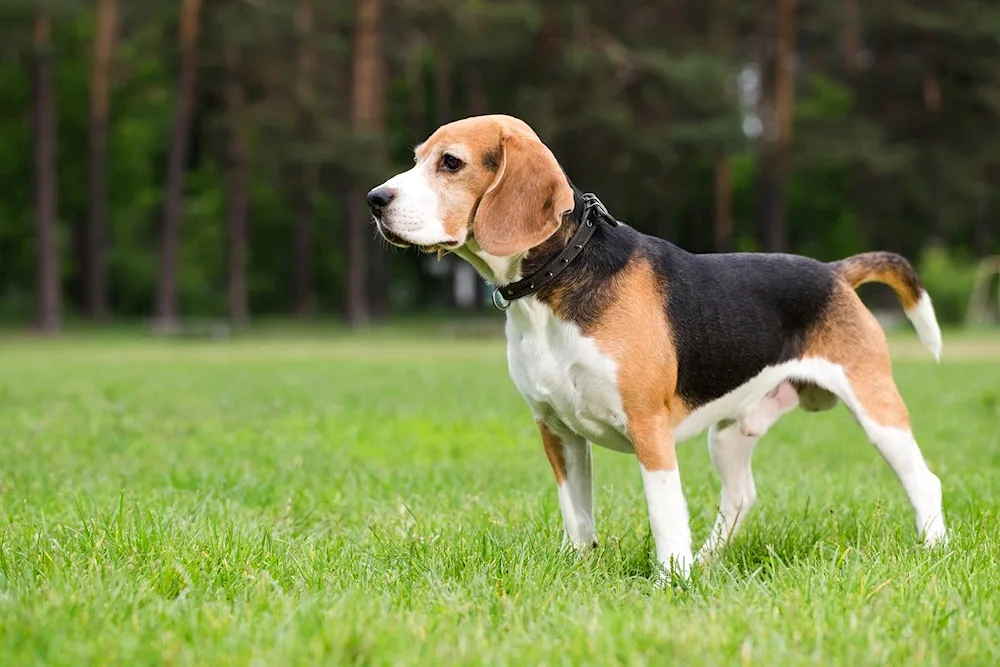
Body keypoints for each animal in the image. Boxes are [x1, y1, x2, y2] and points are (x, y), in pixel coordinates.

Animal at [366, 113, 944, 580]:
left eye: (451, 163)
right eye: (416, 159)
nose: (374, 200)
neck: (557, 279)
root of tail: (834, 272)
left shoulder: (649, 427)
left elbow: (665, 511)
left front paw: (671, 580)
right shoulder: (557, 431)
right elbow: (577, 513)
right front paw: (579, 569)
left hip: (876, 408)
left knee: (926, 480)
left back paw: (933, 550)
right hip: (730, 431)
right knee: (741, 497)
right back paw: (708, 560)